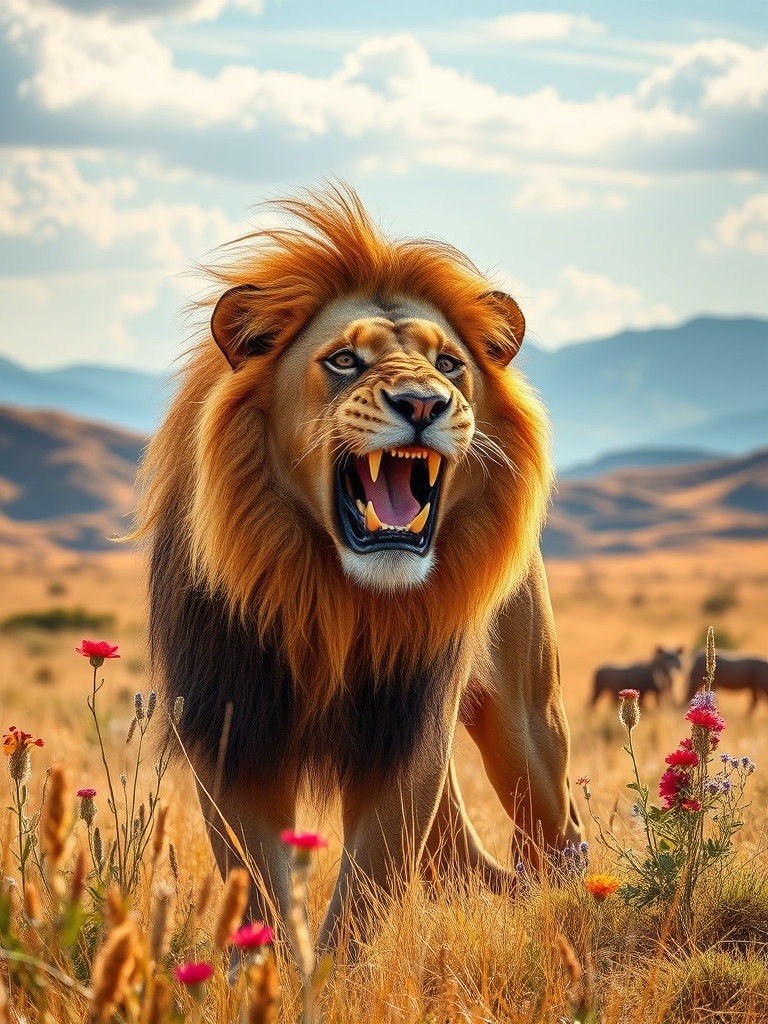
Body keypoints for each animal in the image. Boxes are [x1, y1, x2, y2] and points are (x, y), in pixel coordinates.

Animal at [136, 185, 581, 951]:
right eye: (345, 360)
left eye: (450, 364)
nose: (425, 403)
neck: (328, 597)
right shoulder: (232, 732)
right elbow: (258, 889)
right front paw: (268, 967)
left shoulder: (406, 734)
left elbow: (367, 894)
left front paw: (335, 970)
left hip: (529, 724)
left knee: (559, 835)